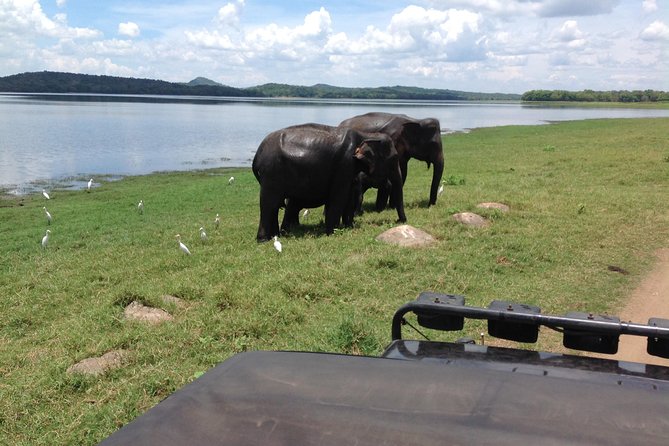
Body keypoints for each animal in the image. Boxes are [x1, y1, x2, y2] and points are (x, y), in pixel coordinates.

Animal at [252, 123, 406, 241]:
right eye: (394, 158)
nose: (400, 221)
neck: (366, 134)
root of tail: (257, 155)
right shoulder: (344, 164)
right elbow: (339, 197)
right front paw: (333, 232)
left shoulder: (350, 169)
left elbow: (348, 197)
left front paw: (348, 227)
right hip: (272, 173)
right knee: (269, 203)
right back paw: (263, 239)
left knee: (275, 205)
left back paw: (276, 236)